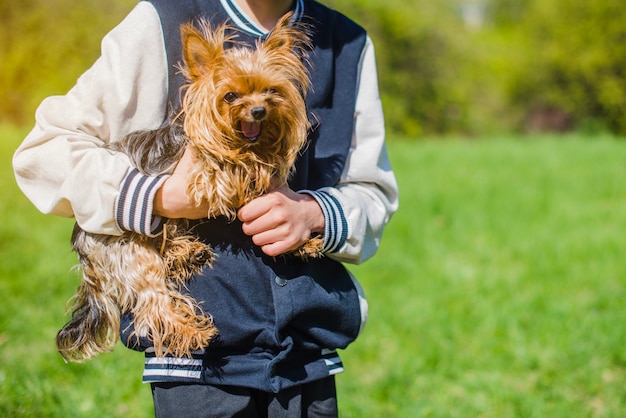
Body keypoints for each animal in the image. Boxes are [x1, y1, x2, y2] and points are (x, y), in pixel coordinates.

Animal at [56, 14, 320, 362]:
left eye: (271, 91)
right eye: (230, 96)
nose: (259, 111)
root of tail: (81, 244)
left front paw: (300, 240)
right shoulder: (209, 174)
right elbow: (238, 170)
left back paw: (187, 253)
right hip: (130, 251)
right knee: (154, 304)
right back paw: (192, 331)